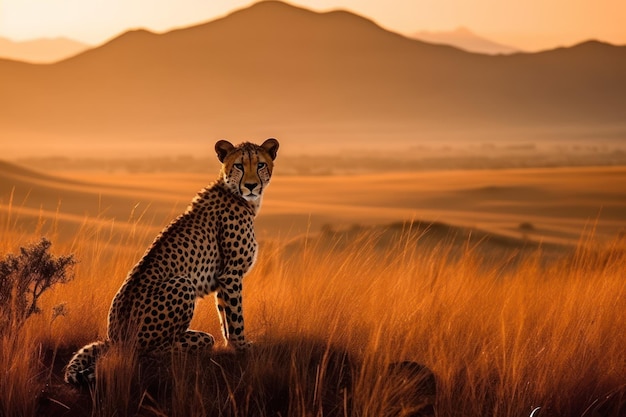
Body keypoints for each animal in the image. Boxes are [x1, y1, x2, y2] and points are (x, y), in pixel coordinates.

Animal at [64, 138, 278, 386]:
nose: (251, 186)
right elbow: (235, 316)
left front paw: (230, 345)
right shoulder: (231, 274)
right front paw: (242, 346)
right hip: (182, 283)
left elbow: (225, 316)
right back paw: (195, 341)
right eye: (239, 166)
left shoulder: (223, 279)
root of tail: (115, 340)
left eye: (260, 164)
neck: (238, 195)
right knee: (151, 350)